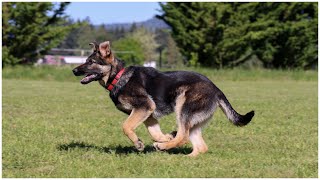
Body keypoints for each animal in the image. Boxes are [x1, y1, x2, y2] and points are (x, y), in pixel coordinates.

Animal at [72, 40, 255, 156]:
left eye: (91, 62)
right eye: (86, 60)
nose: (74, 71)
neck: (118, 76)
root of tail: (217, 89)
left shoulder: (144, 106)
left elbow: (126, 126)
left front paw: (139, 144)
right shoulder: (148, 114)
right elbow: (154, 132)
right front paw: (166, 137)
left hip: (183, 107)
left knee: (183, 136)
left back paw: (163, 147)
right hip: (194, 120)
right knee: (199, 145)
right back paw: (182, 156)